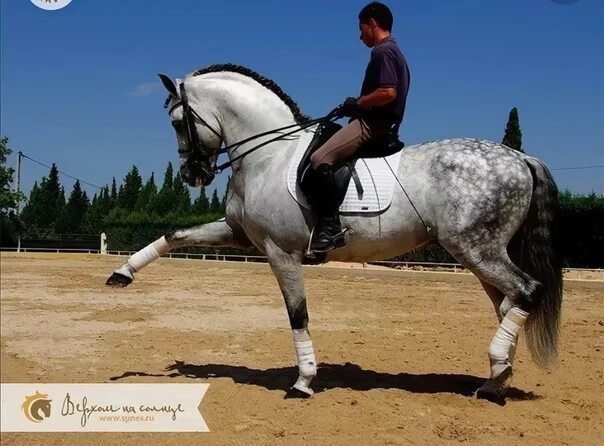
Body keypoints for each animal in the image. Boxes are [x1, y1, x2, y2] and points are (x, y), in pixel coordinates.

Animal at [106, 62, 564, 400]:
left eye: (177, 122)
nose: (191, 175)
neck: (268, 154)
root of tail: (520, 157)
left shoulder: (280, 251)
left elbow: (297, 314)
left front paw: (303, 382)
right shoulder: (239, 233)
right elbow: (174, 237)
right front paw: (122, 273)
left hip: (475, 249)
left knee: (527, 291)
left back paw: (496, 373)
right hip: (479, 254)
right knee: (508, 304)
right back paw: (495, 379)